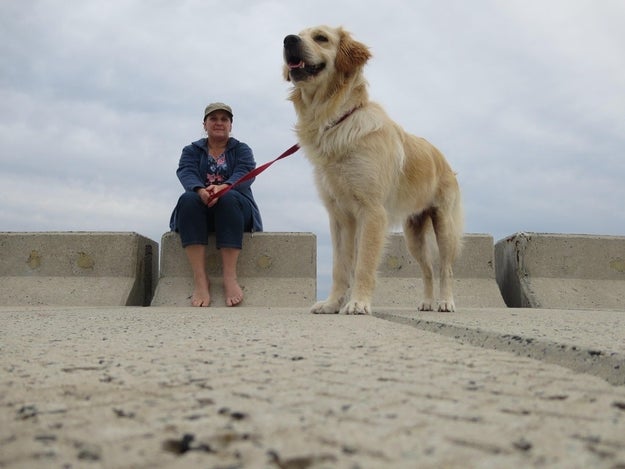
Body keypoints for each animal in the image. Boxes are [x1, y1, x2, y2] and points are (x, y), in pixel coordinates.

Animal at [282, 23, 464, 312]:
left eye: (321, 38)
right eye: (298, 34)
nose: (288, 40)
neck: (335, 120)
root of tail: (442, 158)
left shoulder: (372, 212)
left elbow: (364, 264)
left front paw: (357, 303)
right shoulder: (340, 217)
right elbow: (340, 267)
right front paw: (332, 304)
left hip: (444, 226)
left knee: (445, 268)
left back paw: (445, 302)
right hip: (414, 236)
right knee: (427, 270)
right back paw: (427, 302)